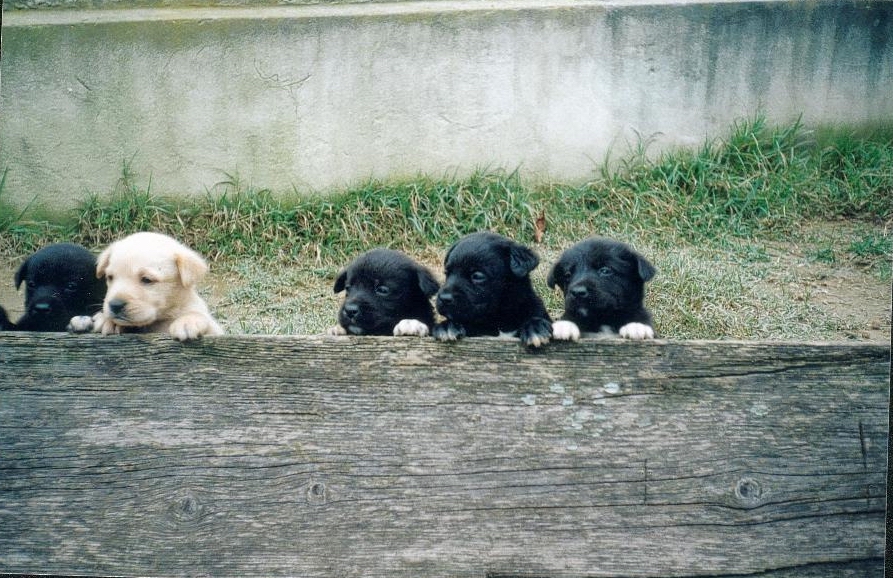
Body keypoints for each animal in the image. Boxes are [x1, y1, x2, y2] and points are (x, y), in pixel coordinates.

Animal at [69, 230, 222, 338]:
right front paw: (108, 320)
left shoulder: (215, 331)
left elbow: (202, 318)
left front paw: (187, 321)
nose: (115, 305)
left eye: (147, 279)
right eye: (110, 277)